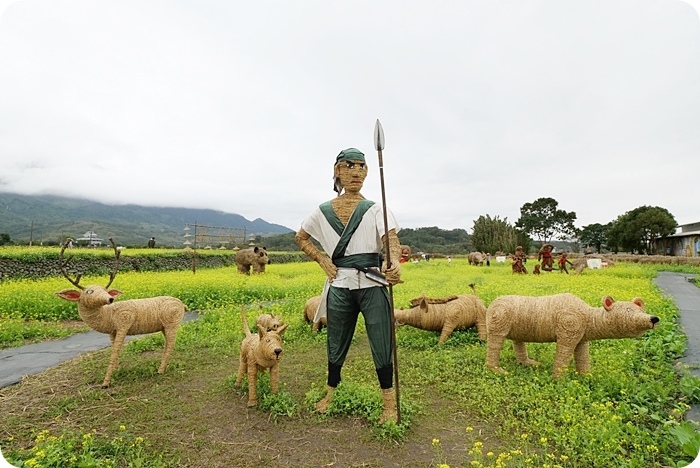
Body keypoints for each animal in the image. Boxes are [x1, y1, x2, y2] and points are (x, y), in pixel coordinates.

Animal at [54, 238, 186, 388]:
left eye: (105, 290)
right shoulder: (113, 331)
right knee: (169, 344)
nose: (110, 299)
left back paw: (160, 370)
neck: (108, 315)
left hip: (172, 323)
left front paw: (105, 383)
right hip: (164, 326)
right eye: (89, 291)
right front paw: (117, 370)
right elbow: (114, 349)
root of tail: (183, 305)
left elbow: (115, 351)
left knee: (170, 344)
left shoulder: (124, 324)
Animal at [484, 292, 660, 376]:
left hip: (518, 326)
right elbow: (563, 354)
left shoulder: (582, 337)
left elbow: (582, 355)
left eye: (640, 310)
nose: (653, 318)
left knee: (518, 341)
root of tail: (492, 303)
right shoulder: (569, 328)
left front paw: (586, 376)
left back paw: (528, 362)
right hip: (498, 320)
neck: (588, 317)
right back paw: (496, 370)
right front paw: (558, 379)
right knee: (495, 343)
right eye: (628, 310)